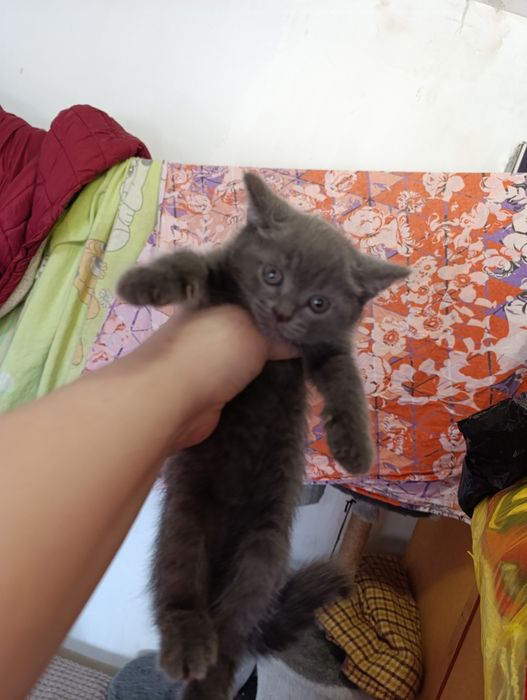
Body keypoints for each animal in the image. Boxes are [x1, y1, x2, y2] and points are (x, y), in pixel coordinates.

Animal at [117, 172, 409, 700]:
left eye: (318, 302)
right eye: (272, 275)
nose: (281, 312)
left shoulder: (325, 346)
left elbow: (347, 380)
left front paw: (355, 448)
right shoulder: (217, 288)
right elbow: (195, 264)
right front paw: (143, 283)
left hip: (265, 552)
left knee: (234, 634)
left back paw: (208, 677)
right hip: (182, 526)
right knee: (180, 592)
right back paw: (186, 648)